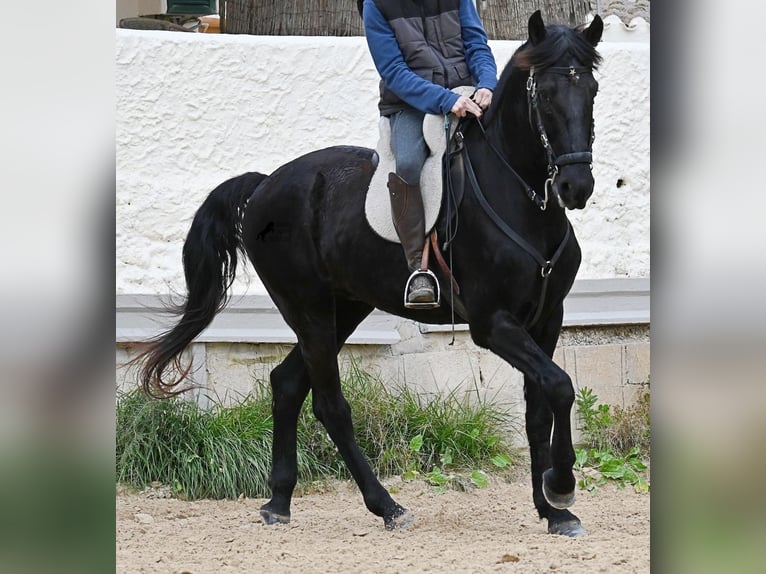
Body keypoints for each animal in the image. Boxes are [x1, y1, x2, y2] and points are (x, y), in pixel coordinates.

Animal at [135, 11, 603, 537]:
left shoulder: (546, 319)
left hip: (345, 309)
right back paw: (387, 506)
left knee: (287, 384)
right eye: (544, 95)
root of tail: (265, 185)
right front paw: (561, 486)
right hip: (311, 311)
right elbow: (560, 386)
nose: (576, 186)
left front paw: (553, 509)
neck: (525, 202)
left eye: (591, 90)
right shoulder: (494, 323)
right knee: (329, 405)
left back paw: (279, 500)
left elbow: (541, 405)